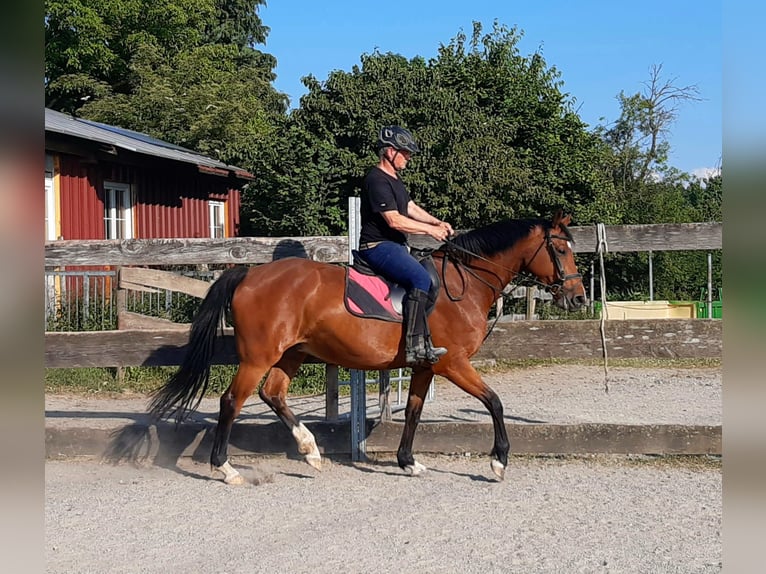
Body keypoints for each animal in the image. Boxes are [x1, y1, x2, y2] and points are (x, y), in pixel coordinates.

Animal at [149, 210, 587, 484]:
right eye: (560, 249)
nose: (579, 297)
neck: (463, 283)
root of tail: (248, 275)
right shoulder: (453, 364)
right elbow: (494, 402)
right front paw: (498, 460)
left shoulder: (426, 366)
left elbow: (413, 411)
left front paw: (408, 462)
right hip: (258, 356)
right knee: (231, 402)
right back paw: (226, 469)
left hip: (291, 353)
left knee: (272, 394)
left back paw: (310, 450)